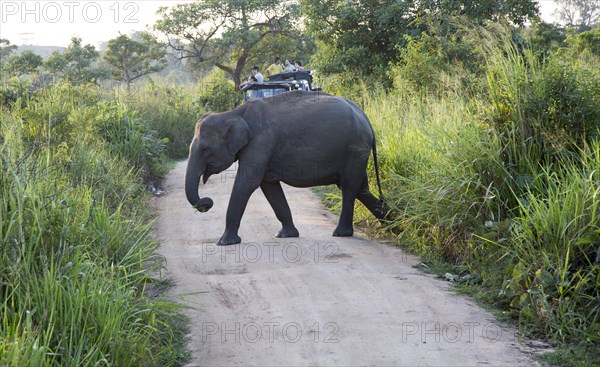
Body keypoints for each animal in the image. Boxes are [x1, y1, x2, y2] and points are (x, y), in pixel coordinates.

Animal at [185, 90, 390, 246]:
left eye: (205, 149)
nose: (207, 202)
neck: (232, 114)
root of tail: (365, 118)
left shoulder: (261, 143)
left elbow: (247, 183)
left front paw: (224, 243)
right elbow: (269, 187)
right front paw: (286, 235)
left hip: (354, 149)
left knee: (349, 186)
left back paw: (341, 233)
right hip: (357, 152)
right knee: (360, 188)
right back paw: (391, 223)